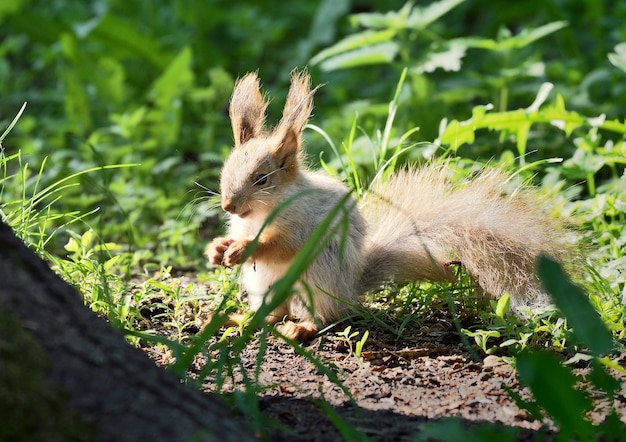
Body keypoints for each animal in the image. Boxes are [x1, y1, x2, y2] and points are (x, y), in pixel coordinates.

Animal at [204, 71, 564, 344]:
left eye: (261, 179)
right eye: (226, 168)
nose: (229, 205)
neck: (259, 217)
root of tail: (350, 288)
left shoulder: (304, 225)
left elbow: (281, 246)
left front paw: (244, 248)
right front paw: (217, 248)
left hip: (318, 281)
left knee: (322, 316)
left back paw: (300, 327)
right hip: (263, 286)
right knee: (274, 311)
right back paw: (239, 317)